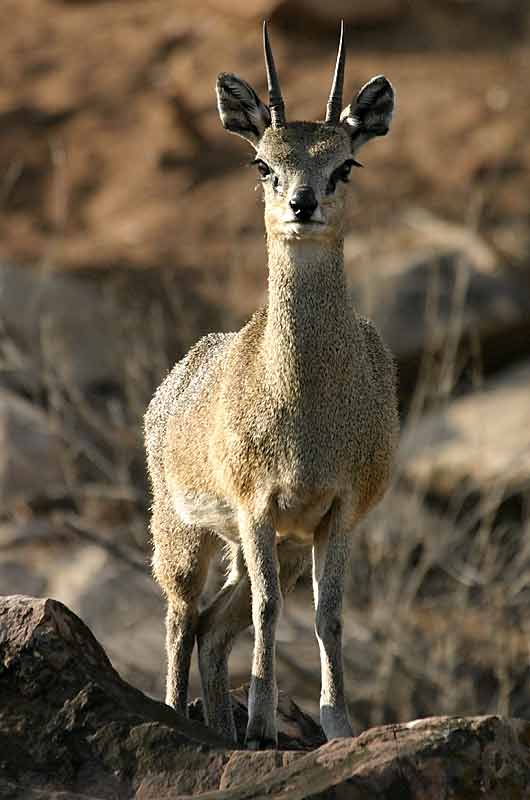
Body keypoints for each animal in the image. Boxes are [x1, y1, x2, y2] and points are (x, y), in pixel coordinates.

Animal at [144, 23, 396, 752]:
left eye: (346, 165)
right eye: (263, 164)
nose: (301, 204)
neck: (308, 411)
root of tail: (171, 383)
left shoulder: (337, 511)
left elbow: (328, 614)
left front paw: (337, 721)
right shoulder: (257, 506)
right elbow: (268, 610)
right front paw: (261, 720)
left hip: (272, 546)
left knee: (212, 626)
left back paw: (223, 727)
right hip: (183, 534)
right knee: (182, 615)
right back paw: (182, 714)